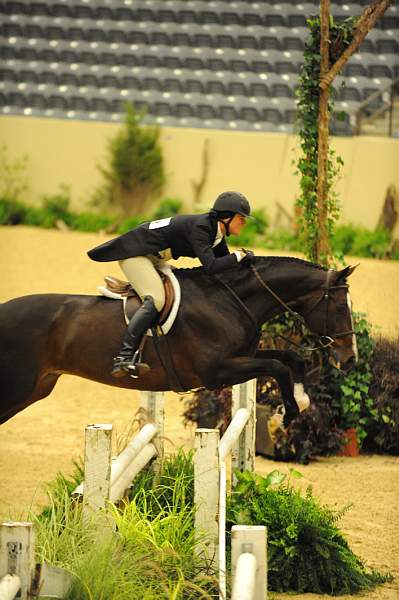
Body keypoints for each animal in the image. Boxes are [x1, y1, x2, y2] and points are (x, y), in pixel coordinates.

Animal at [0, 256, 358, 426]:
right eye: (341, 307)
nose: (350, 358)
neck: (228, 300)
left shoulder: (242, 356)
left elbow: (290, 359)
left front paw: (302, 401)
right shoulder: (217, 372)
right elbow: (276, 366)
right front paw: (287, 414)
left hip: (36, 388)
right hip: (17, 389)